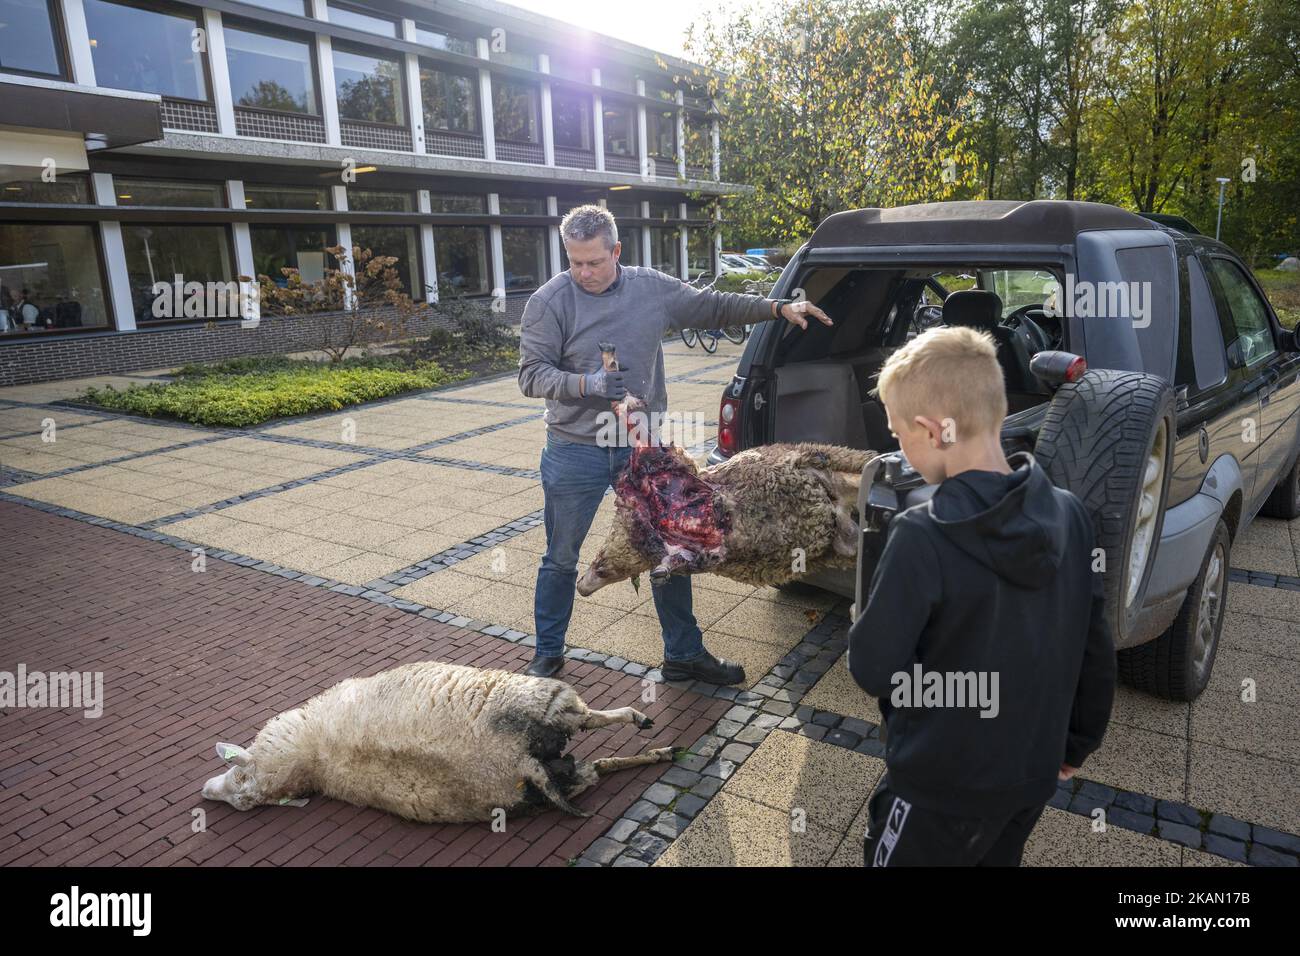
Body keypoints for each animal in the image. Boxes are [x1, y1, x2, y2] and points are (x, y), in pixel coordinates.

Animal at [200, 660, 681, 827]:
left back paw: (656, 744)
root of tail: (515, 761)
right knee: (595, 735)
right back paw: (655, 739)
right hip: (547, 708)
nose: (205, 792)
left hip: (555, 761)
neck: (313, 754)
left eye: (239, 780)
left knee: (595, 757)